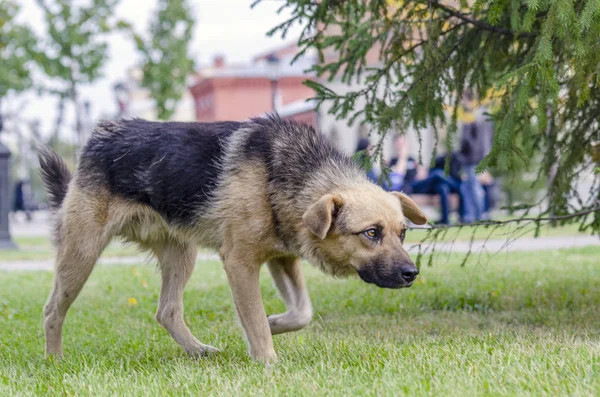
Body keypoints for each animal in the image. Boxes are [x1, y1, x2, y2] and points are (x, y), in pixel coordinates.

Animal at [38, 116, 426, 364]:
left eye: (403, 232)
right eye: (371, 233)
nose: (412, 274)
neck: (283, 173)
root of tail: (98, 136)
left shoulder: (283, 257)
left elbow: (301, 312)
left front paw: (274, 323)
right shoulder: (240, 262)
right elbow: (254, 317)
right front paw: (267, 360)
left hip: (182, 255)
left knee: (168, 311)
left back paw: (197, 351)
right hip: (82, 255)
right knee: (52, 310)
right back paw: (55, 360)